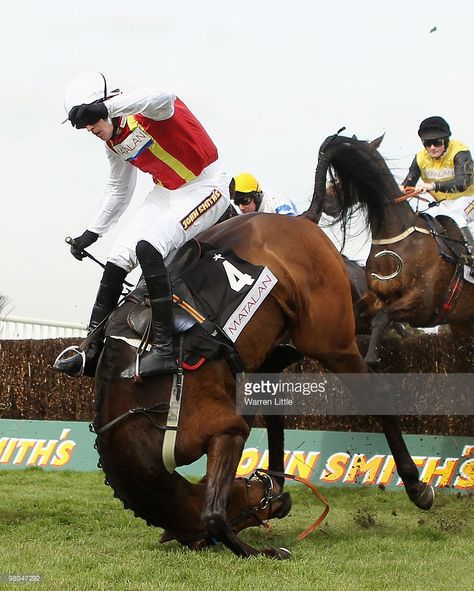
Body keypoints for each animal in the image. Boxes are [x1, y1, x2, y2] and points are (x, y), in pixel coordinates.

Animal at [92, 200, 434, 560]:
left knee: (375, 390)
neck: (135, 409)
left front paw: (265, 551)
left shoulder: (224, 428)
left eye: (208, 539)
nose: (281, 505)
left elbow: (213, 513)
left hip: (330, 338)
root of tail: (300, 220)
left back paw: (416, 486)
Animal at [312, 134, 474, 364]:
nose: (326, 201)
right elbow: (357, 313)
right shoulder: (376, 297)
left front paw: (371, 358)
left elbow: (382, 318)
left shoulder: (422, 303)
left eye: (346, 170)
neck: (396, 239)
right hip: (463, 324)